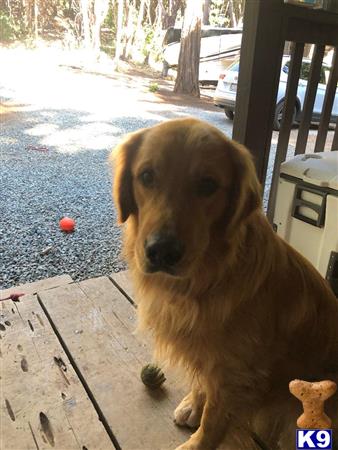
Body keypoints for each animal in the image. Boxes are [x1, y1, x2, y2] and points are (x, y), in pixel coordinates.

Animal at [111, 118, 338, 450]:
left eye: (208, 185)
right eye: (147, 176)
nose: (161, 251)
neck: (205, 279)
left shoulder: (234, 372)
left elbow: (214, 419)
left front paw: (196, 443)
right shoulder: (208, 355)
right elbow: (202, 384)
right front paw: (194, 404)